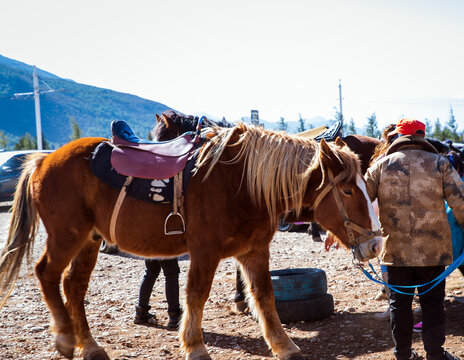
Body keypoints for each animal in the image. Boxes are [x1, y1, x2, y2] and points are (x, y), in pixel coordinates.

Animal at [0, 121, 380, 360]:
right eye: (348, 190)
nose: (376, 244)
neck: (242, 182)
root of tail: (41, 160)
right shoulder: (205, 251)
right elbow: (196, 295)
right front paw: (195, 346)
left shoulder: (254, 250)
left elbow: (265, 296)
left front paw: (283, 346)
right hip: (67, 236)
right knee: (47, 274)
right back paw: (65, 338)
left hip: (89, 240)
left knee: (74, 286)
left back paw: (91, 347)